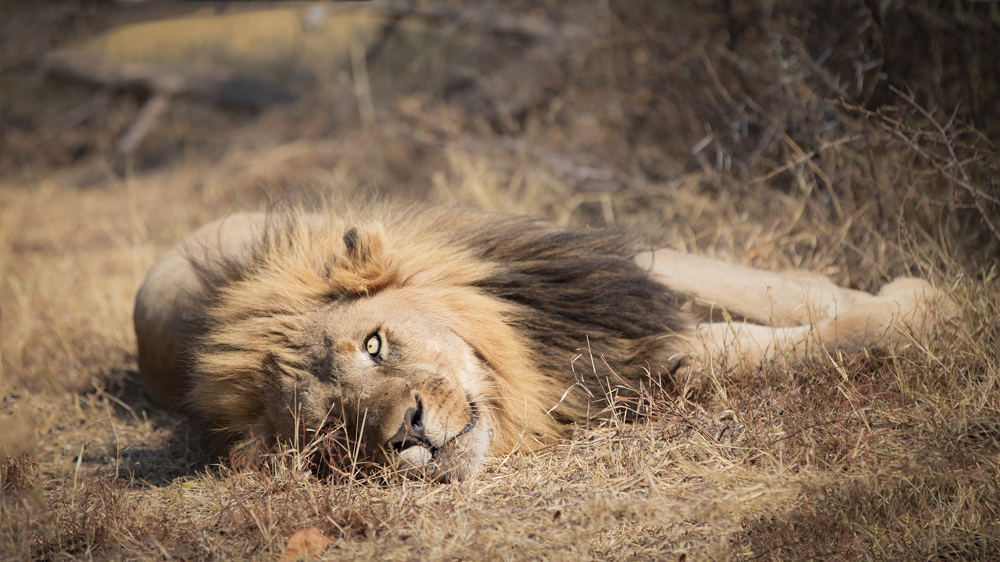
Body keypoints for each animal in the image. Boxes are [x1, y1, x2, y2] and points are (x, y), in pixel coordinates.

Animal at [133, 203, 952, 480]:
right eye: (332, 431)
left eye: (373, 344)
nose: (408, 434)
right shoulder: (638, 361)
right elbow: (743, 345)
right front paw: (921, 311)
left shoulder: (599, 277)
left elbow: (772, 287)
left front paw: (923, 290)